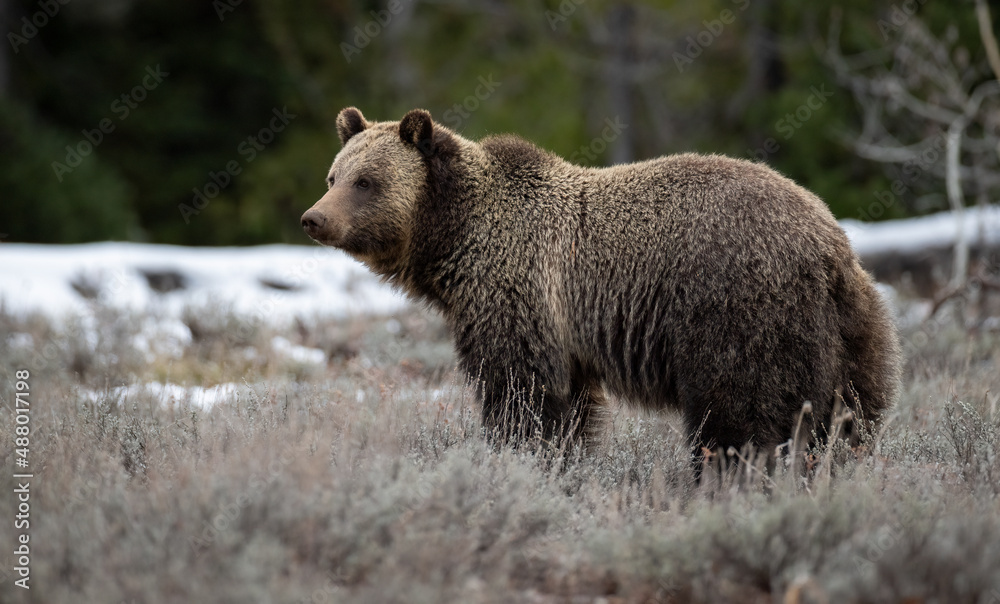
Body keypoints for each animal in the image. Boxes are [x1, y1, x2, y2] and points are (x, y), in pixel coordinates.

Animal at [301, 107, 902, 457]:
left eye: (366, 181)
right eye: (333, 176)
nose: (313, 218)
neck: (456, 237)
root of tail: (828, 243)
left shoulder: (518, 291)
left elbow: (521, 391)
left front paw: (520, 454)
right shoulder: (562, 329)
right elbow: (568, 405)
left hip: (736, 311)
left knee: (738, 413)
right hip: (852, 332)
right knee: (849, 415)